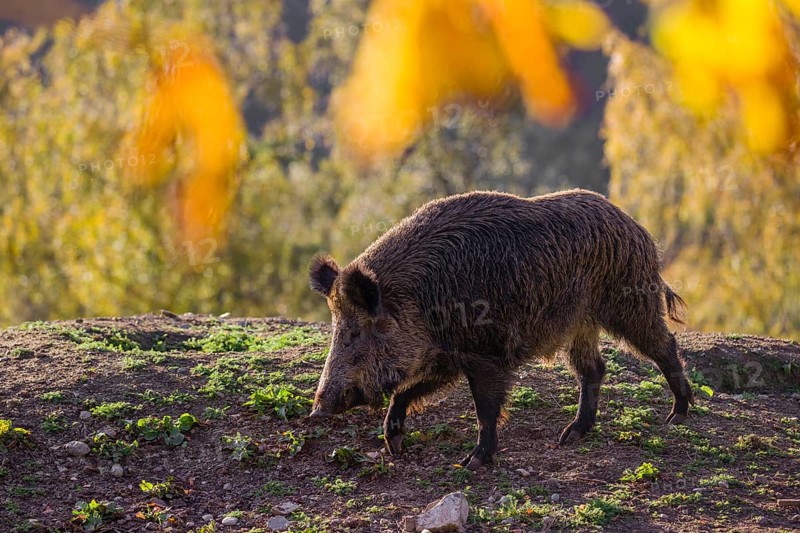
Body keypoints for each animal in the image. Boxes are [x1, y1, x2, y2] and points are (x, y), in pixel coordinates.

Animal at [308, 189, 692, 470]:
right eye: (336, 327)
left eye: (356, 332)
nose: (318, 409)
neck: (419, 301)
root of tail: (637, 228)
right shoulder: (446, 357)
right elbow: (408, 391)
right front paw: (394, 446)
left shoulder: (485, 355)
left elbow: (486, 409)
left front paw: (471, 463)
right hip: (579, 324)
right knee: (593, 369)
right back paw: (569, 435)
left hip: (628, 304)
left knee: (664, 346)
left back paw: (676, 416)